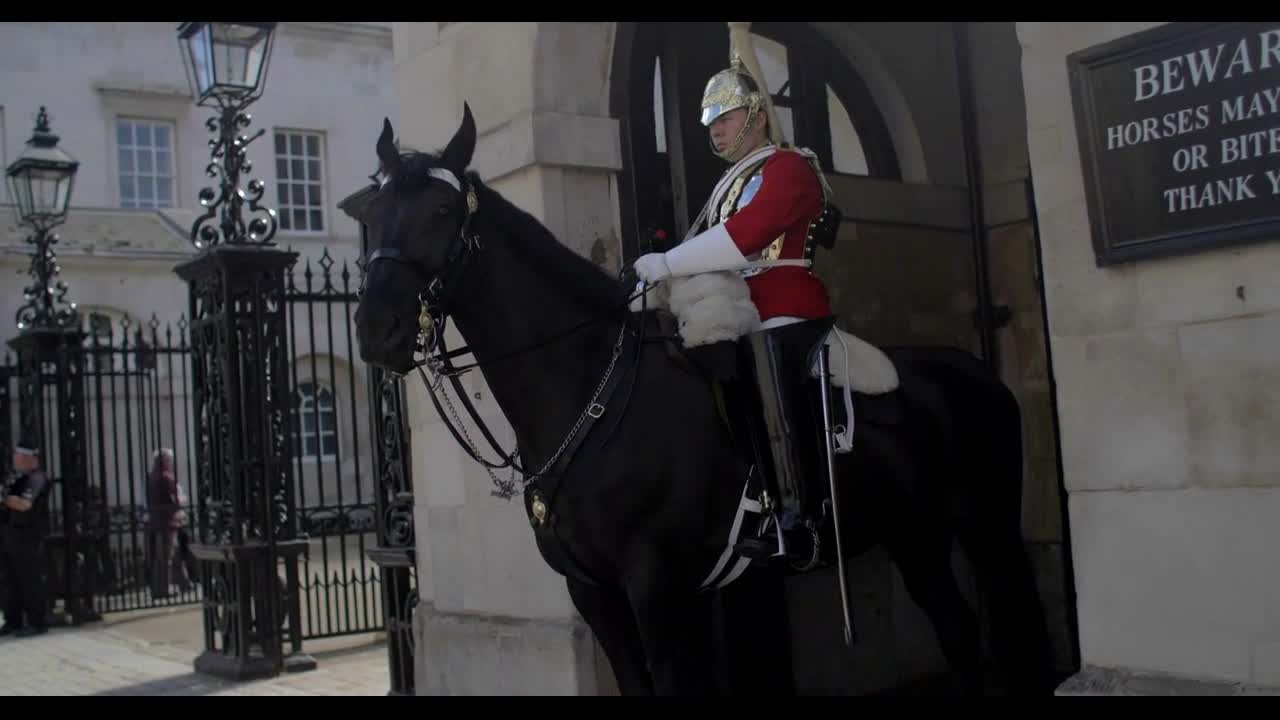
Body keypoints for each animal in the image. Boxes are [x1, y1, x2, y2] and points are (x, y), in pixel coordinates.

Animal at [355, 103, 1054, 691]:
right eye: (373, 215)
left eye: (441, 212)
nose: (374, 331)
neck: (589, 394)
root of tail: (975, 370)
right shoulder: (595, 595)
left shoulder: (658, 591)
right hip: (916, 536)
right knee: (958, 632)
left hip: (986, 527)